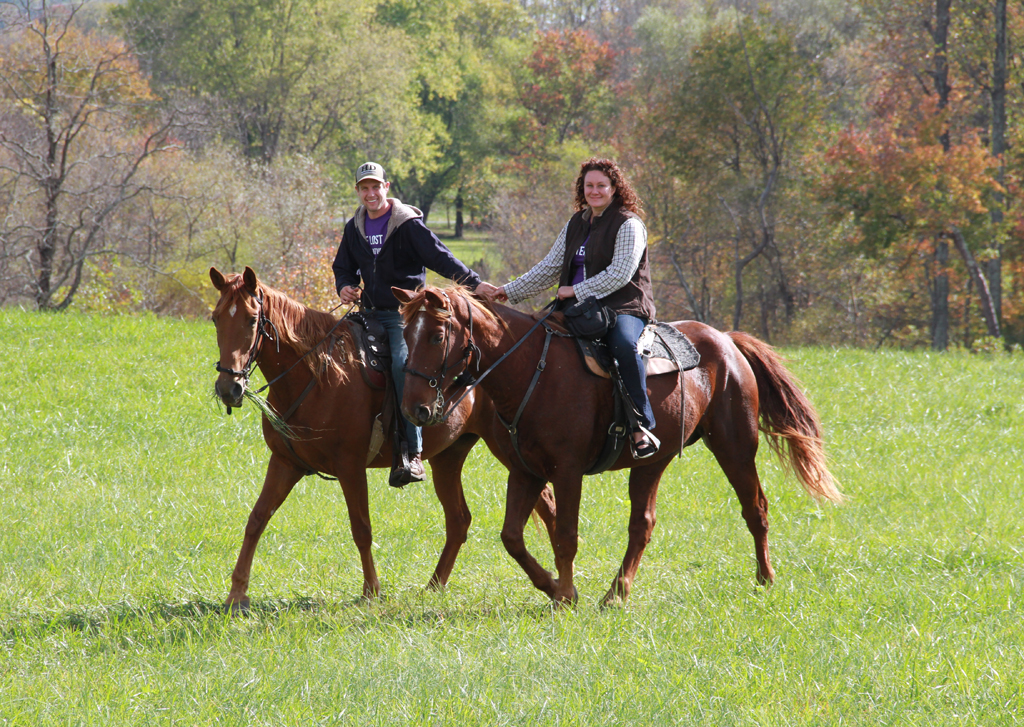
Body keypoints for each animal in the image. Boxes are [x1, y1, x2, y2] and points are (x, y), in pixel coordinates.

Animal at [209, 264, 561, 610]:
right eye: (215, 318)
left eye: (252, 319)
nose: (229, 388)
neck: (319, 374)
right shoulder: (285, 463)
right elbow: (256, 519)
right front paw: (236, 594)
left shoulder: (350, 467)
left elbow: (361, 528)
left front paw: (371, 591)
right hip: (448, 457)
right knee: (459, 520)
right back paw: (434, 587)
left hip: (511, 451)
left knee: (547, 504)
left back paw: (558, 580)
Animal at [395, 284, 843, 610]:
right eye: (404, 335)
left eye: (436, 335)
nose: (415, 408)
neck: (531, 371)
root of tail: (727, 342)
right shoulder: (526, 471)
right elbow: (512, 538)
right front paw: (553, 586)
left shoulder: (567, 471)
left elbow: (566, 535)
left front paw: (564, 595)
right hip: (652, 464)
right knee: (642, 524)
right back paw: (617, 592)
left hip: (735, 447)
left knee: (756, 509)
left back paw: (765, 579)